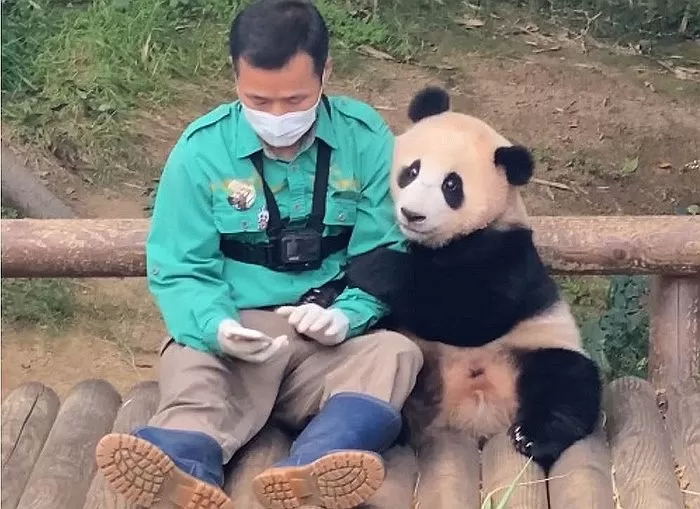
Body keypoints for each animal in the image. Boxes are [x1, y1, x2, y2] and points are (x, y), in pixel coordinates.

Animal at [348, 85, 604, 470]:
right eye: (412, 170)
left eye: (451, 185)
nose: (412, 214)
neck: (443, 243)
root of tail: (476, 415)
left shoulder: (508, 253)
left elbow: (470, 314)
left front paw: (368, 265)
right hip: (424, 358)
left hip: (534, 347)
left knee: (570, 382)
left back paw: (532, 436)